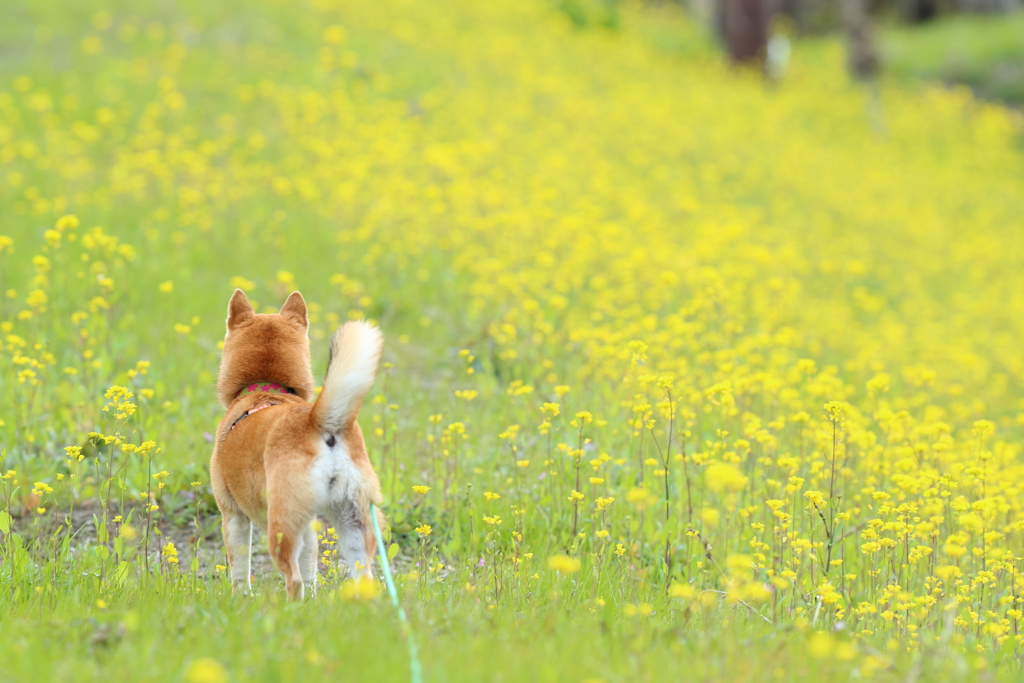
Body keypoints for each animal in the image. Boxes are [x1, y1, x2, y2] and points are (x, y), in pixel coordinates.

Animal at [208, 290, 385, 602]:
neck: (266, 389)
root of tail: (320, 423)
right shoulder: (310, 526)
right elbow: (312, 573)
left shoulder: (233, 515)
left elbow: (239, 570)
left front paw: (241, 600)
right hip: (354, 522)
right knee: (363, 579)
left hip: (282, 525)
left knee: (293, 580)